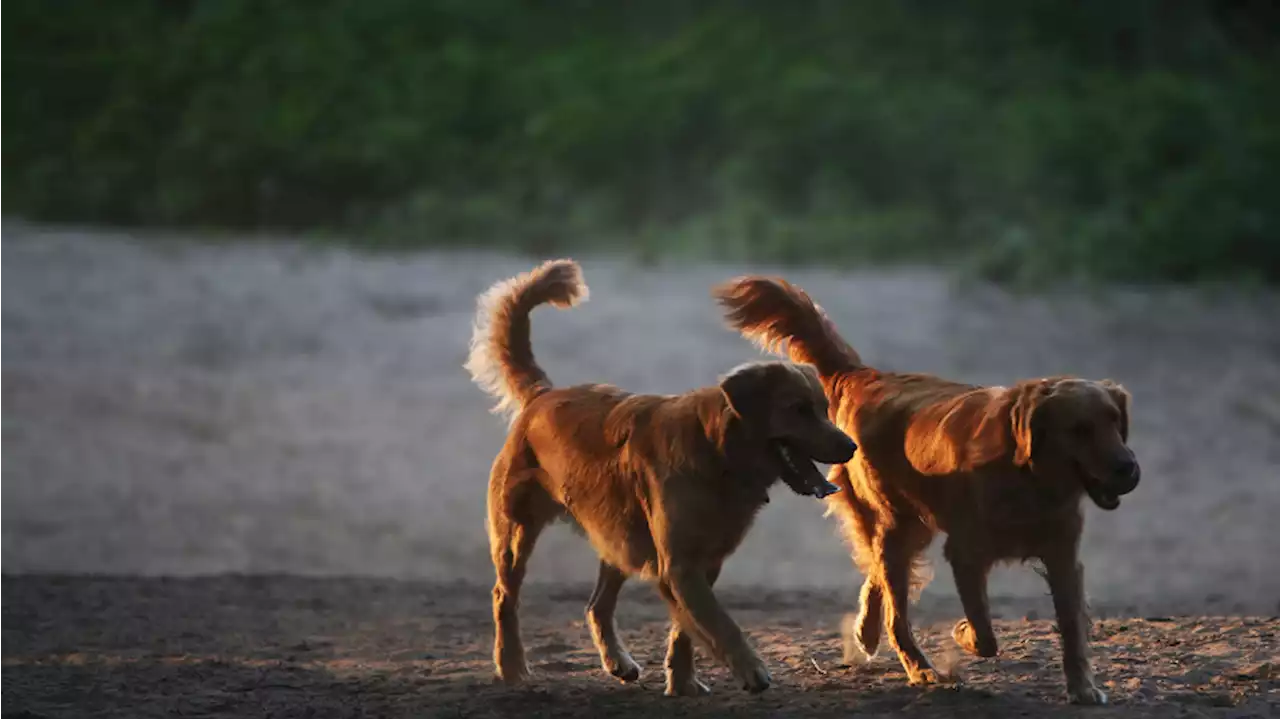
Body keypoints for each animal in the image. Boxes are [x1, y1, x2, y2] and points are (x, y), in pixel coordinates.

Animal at [465, 258, 855, 695]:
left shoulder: (701, 563)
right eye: (798, 409)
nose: (851, 447)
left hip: (619, 538)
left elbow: (686, 630)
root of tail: (541, 396)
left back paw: (616, 661)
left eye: (824, 408)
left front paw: (682, 682)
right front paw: (750, 669)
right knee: (504, 597)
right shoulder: (680, 565)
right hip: (517, 532)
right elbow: (721, 623)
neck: (717, 453)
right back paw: (511, 665)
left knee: (596, 605)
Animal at [716, 277, 1146, 701]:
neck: (1028, 476)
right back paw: (918, 668)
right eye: (1080, 429)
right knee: (895, 612)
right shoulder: (966, 554)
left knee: (879, 578)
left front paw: (1082, 686)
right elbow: (985, 633)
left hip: (914, 527)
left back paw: (867, 632)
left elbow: (1072, 628)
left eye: (1114, 420)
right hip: (897, 525)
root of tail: (865, 376)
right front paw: (963, 633)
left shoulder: (1062, 555)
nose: (1129, 469)